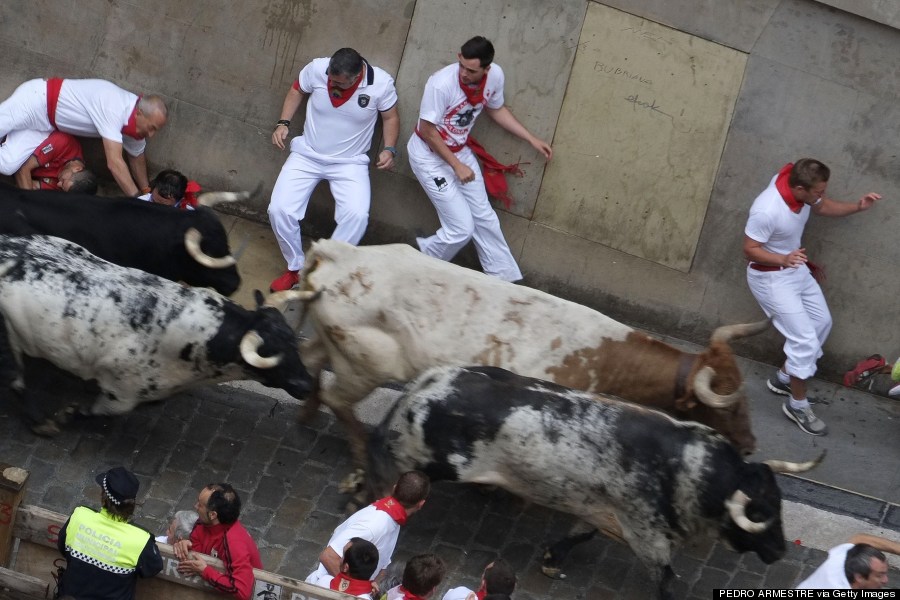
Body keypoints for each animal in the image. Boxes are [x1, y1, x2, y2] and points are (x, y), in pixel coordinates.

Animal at [0, 233, 312, 426]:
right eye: (270, 354)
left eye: (294, 344)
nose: (307, 384)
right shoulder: (120, 392)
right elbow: (94, 412)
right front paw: (69, 414)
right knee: (17, 379)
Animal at [294, 241, 768, 462]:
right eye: (728, 406)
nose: (749, 446)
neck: (606, 357)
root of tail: (342, 254)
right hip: (366, 364)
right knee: (339, 398)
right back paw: (357, 453)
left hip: (333, 345)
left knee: (310, 365)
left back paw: (307, 415)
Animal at [356, 366, 824, 600]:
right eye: (761, 511)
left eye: (779, 502)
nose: (780, 551)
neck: (691, 469)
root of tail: (431, 381)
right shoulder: (647, 534)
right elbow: (666, 576)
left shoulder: (598, 511)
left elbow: (579, 536)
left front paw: (551, 558)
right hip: (424, 457)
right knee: (388, 460)